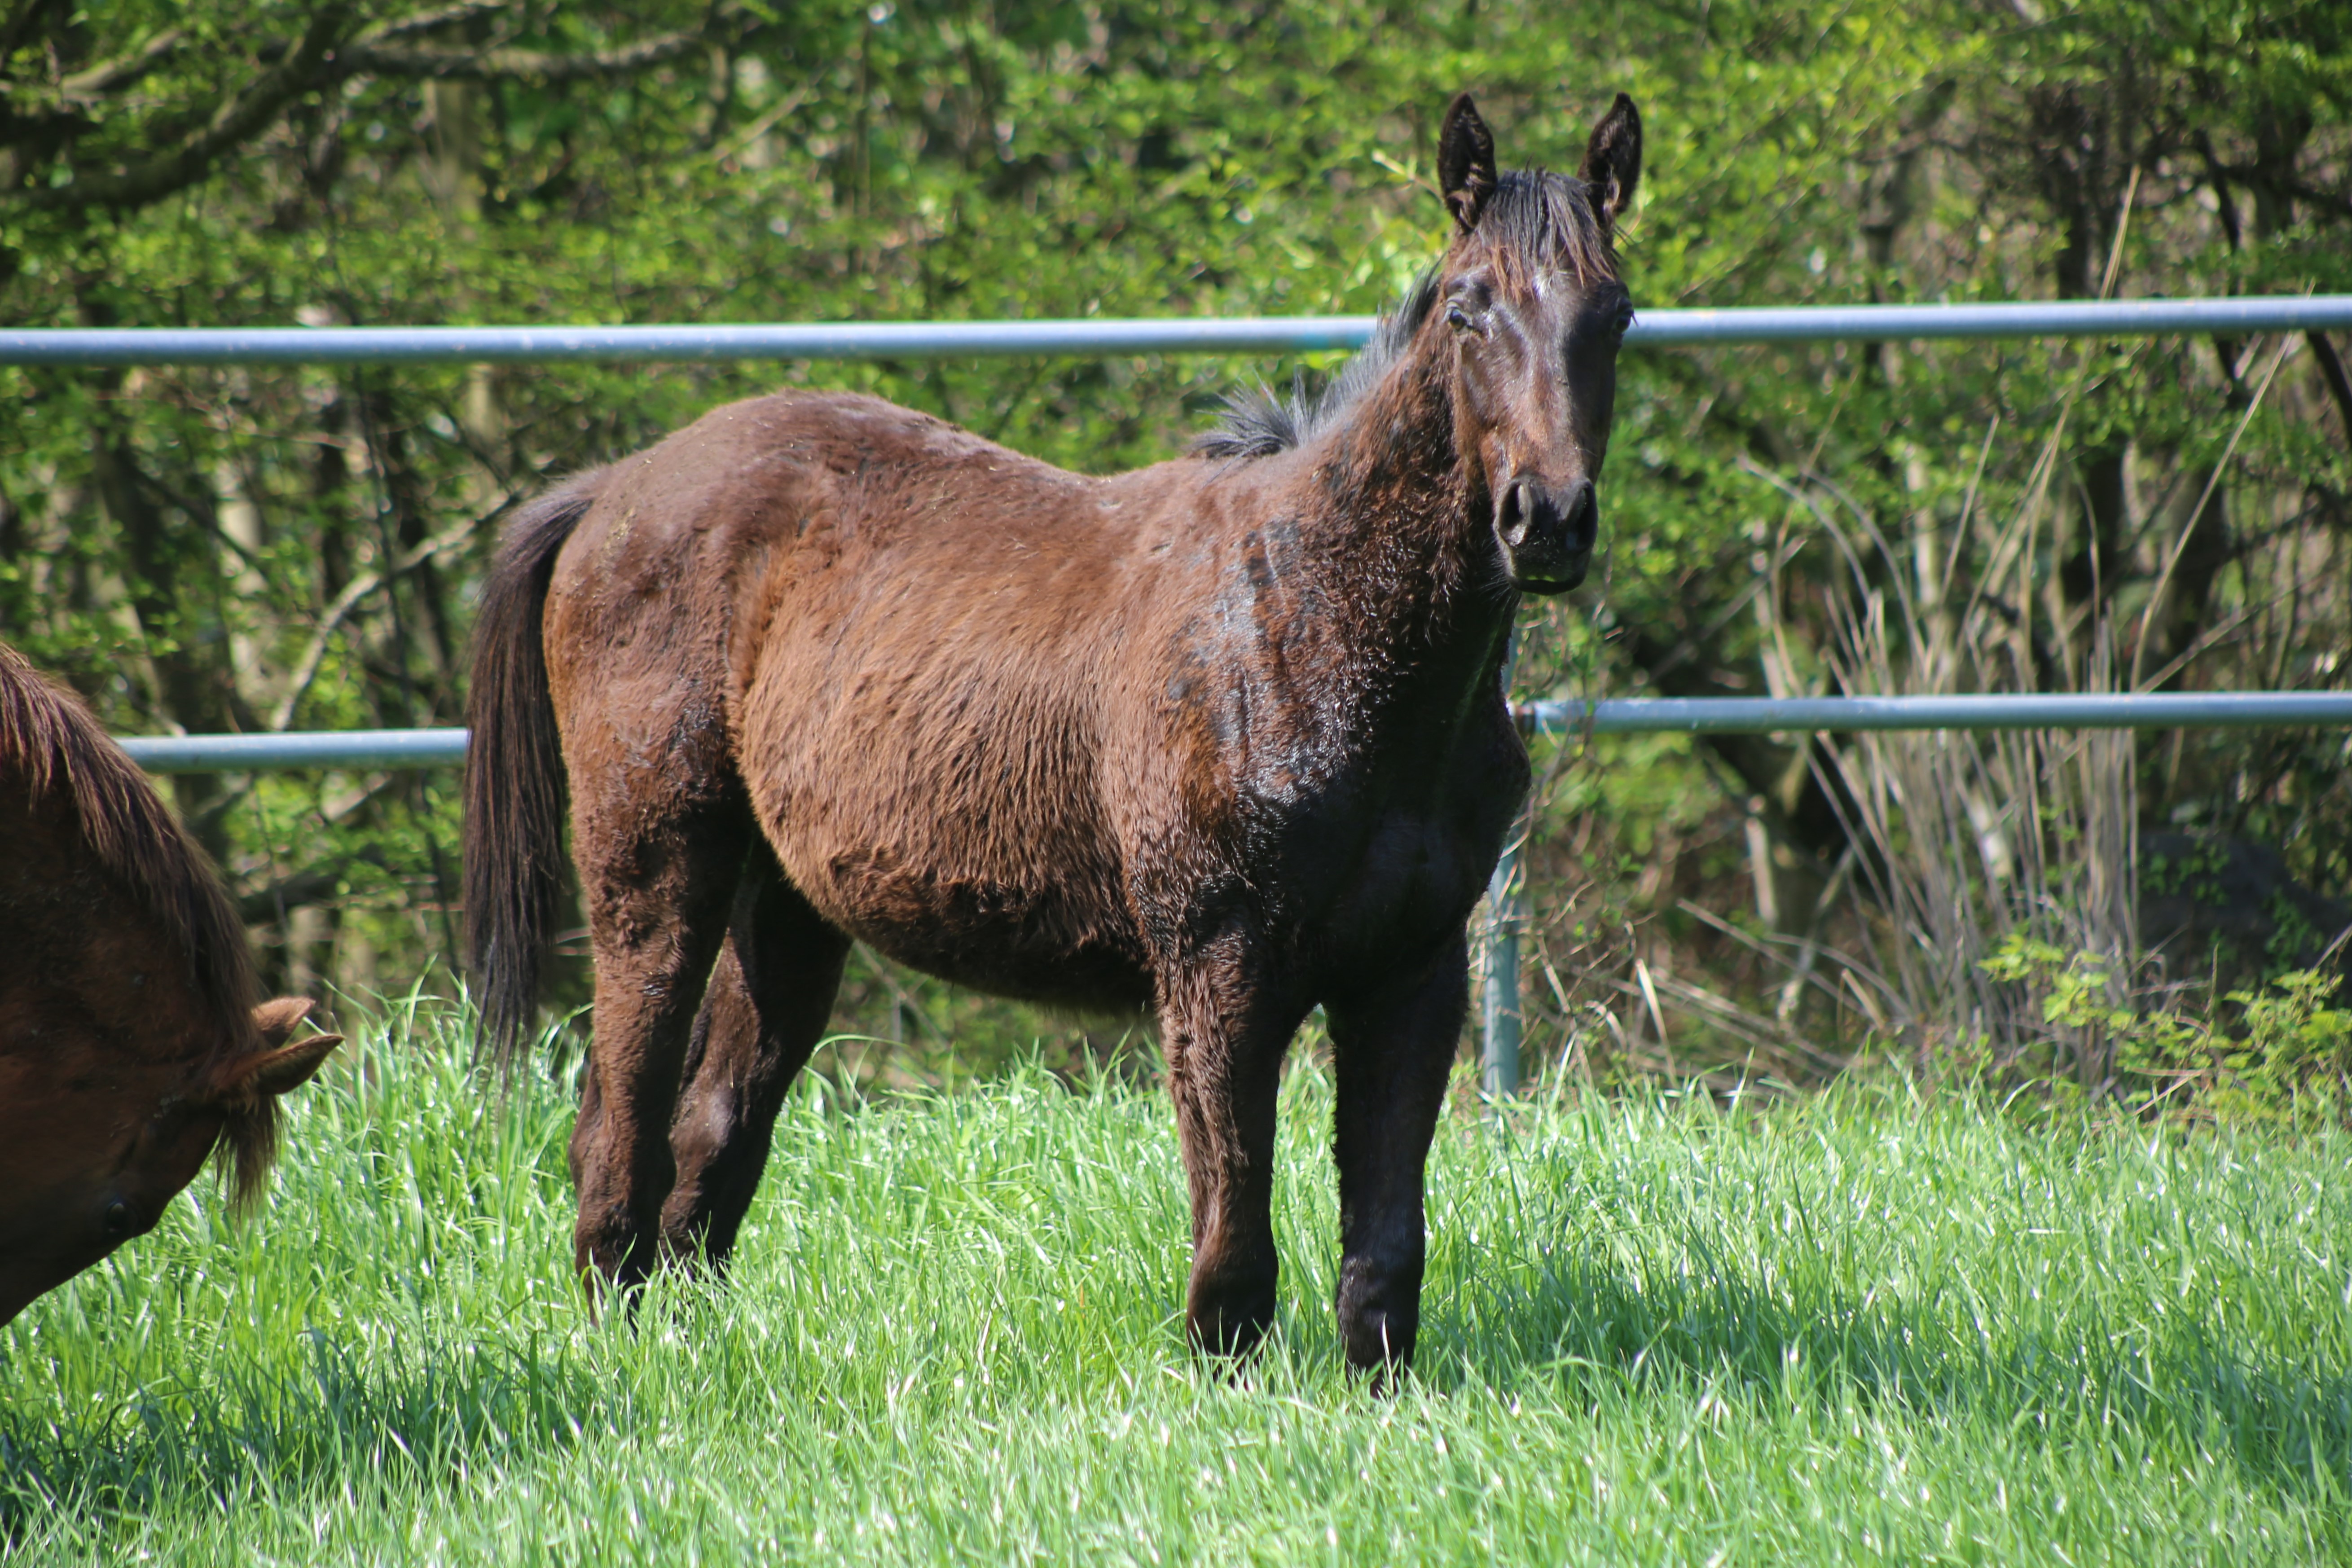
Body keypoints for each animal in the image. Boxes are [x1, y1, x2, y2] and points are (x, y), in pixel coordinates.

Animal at [468, 92, 1646, 1363]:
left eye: (1617, 315)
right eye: (1469, 308)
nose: (1547, 521)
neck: (1310, 619)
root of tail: (613, 490)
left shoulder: (1412, 974)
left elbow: (1384, 1253)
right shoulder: (1219, 966)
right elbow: (1234, 1239)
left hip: (785, 906)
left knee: (713, 1134)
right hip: (658, 869)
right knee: (617, 1125)